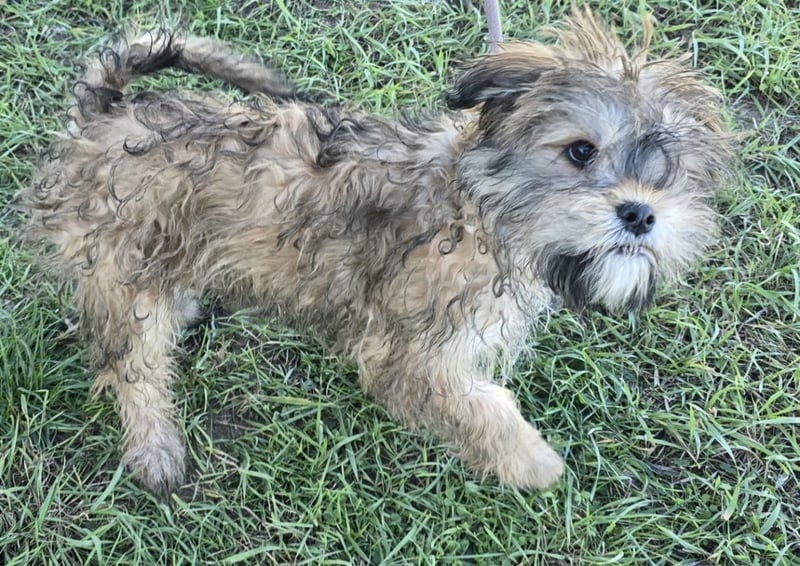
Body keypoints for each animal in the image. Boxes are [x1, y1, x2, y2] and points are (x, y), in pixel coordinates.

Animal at [20, 8, 732, 495]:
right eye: (581, 151)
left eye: (669, 172)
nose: (640, 212)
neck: (476, 209)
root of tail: (104, 116)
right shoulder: (413, 355)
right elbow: (483, 409)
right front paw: (533, 463)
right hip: (125, 271)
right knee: (133, 366)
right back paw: (156, 449)